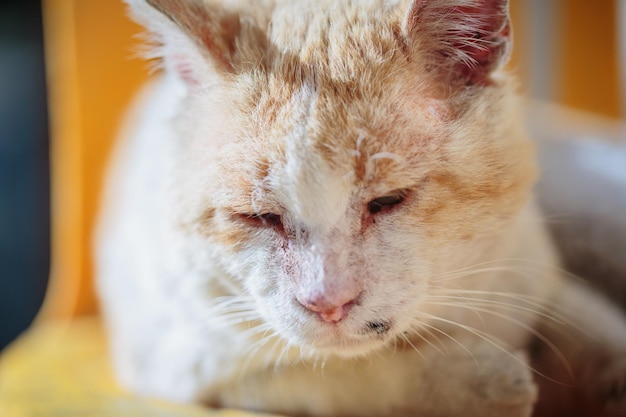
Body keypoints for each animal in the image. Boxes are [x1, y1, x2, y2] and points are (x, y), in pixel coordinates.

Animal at [96, 0, 624, 416]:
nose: (327, 302)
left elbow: (590, 323)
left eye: (387, 201)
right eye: (259, 217)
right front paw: (487, 383)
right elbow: (342, 376)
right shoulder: (183, 362)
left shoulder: (532, 266)